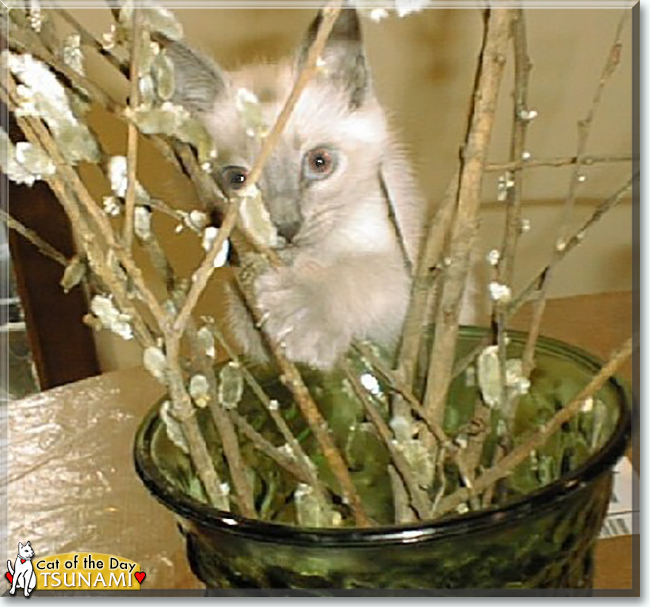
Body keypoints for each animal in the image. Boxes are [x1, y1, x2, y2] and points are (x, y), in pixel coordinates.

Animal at [168, 9, 420, 370]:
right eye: (237, 180)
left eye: (319, 162)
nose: (286, 227)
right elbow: (250, 330)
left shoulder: (412, 294)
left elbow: (365, 273)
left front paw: (302, 308)